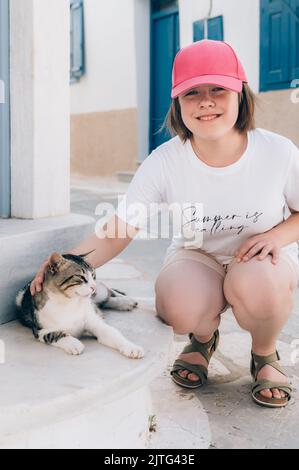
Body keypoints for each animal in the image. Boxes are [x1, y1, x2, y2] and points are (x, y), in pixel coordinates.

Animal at [15, 252, 145, 358]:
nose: (93, 286)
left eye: (93, 275)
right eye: (81, 277)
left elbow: (113, 334)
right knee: (105, 302)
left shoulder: (96, 323)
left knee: (108, 292)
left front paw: (131, 347)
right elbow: (56, 334)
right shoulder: (40, 330)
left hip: (100, 292)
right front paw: (73, 343)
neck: (69, 302)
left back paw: (126, 300)